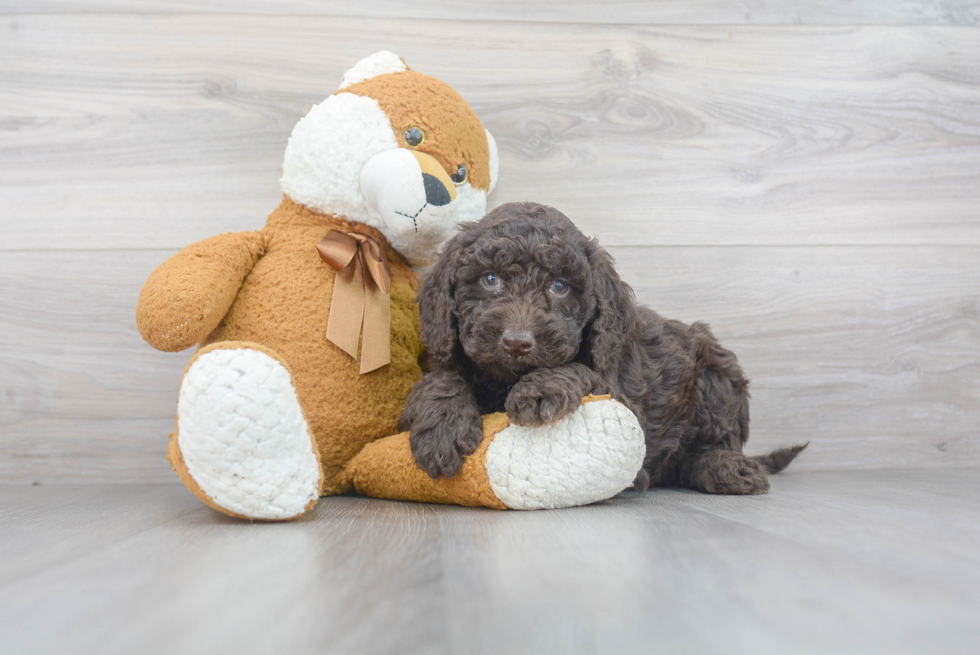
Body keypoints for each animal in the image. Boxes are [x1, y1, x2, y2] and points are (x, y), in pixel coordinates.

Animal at [402, 202, 808, 494]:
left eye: (560, 287)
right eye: (490, 280)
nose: (517, 343)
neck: (503, 380)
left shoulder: (622, 390)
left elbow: (582, 369)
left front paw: (539, 389)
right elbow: (440, 379)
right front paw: (442, 430)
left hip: (716, 374)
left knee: (716, 443)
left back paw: (726, 469)